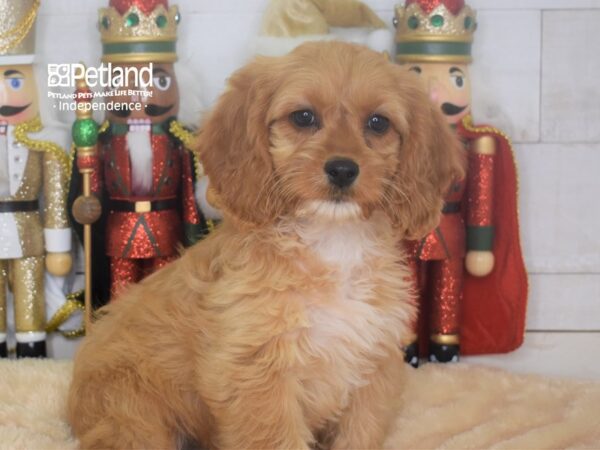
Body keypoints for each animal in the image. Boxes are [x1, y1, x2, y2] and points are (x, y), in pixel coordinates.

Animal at [67, 40, 464, 448]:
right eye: (303, 117)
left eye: (378, 123)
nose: (342, 169)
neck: (332, 243)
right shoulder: (258, 376)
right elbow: (280, 438)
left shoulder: (373, 368)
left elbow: (359, 436)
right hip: (132, 419)